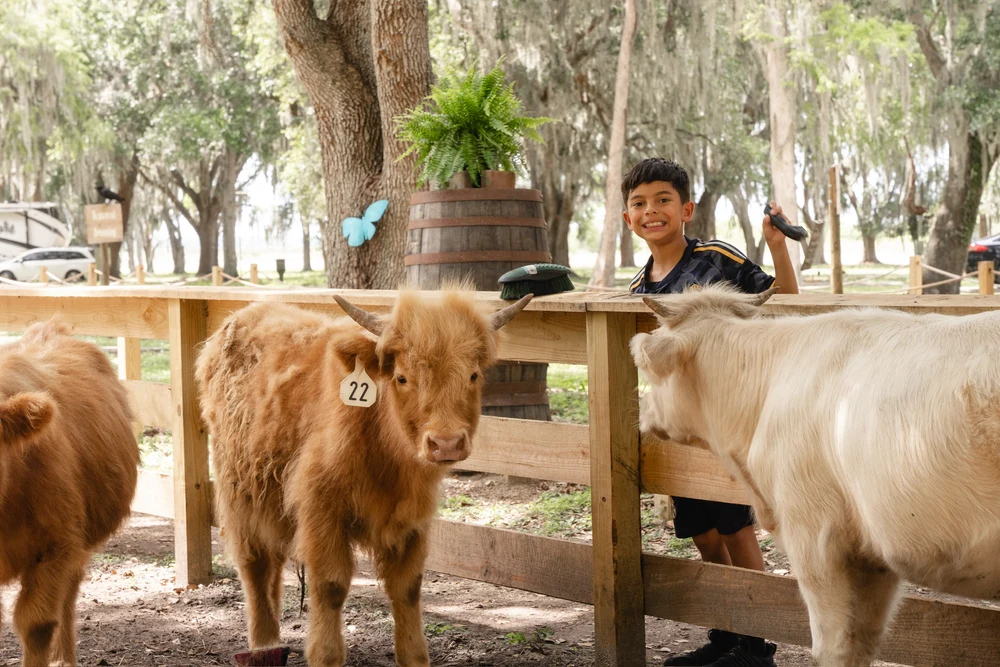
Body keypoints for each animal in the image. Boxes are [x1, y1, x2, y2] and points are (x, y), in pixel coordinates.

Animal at [196, 289, 532, 667]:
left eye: (473, 375)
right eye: (402, 377)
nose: (445, 443)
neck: (386, 454)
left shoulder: (413, 520)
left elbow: (408, 587)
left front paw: (414, 656)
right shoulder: (321, 511)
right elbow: (330, 585)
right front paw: (326, 655)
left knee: (273, 565)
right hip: (238, 492)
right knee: (253, 564)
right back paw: (263, 645)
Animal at [630, 285, 1000, 667]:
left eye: (648, 372)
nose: (642, 412)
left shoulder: (816, 536)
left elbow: (832, 646)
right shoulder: (872, 558)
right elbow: (863, 642)